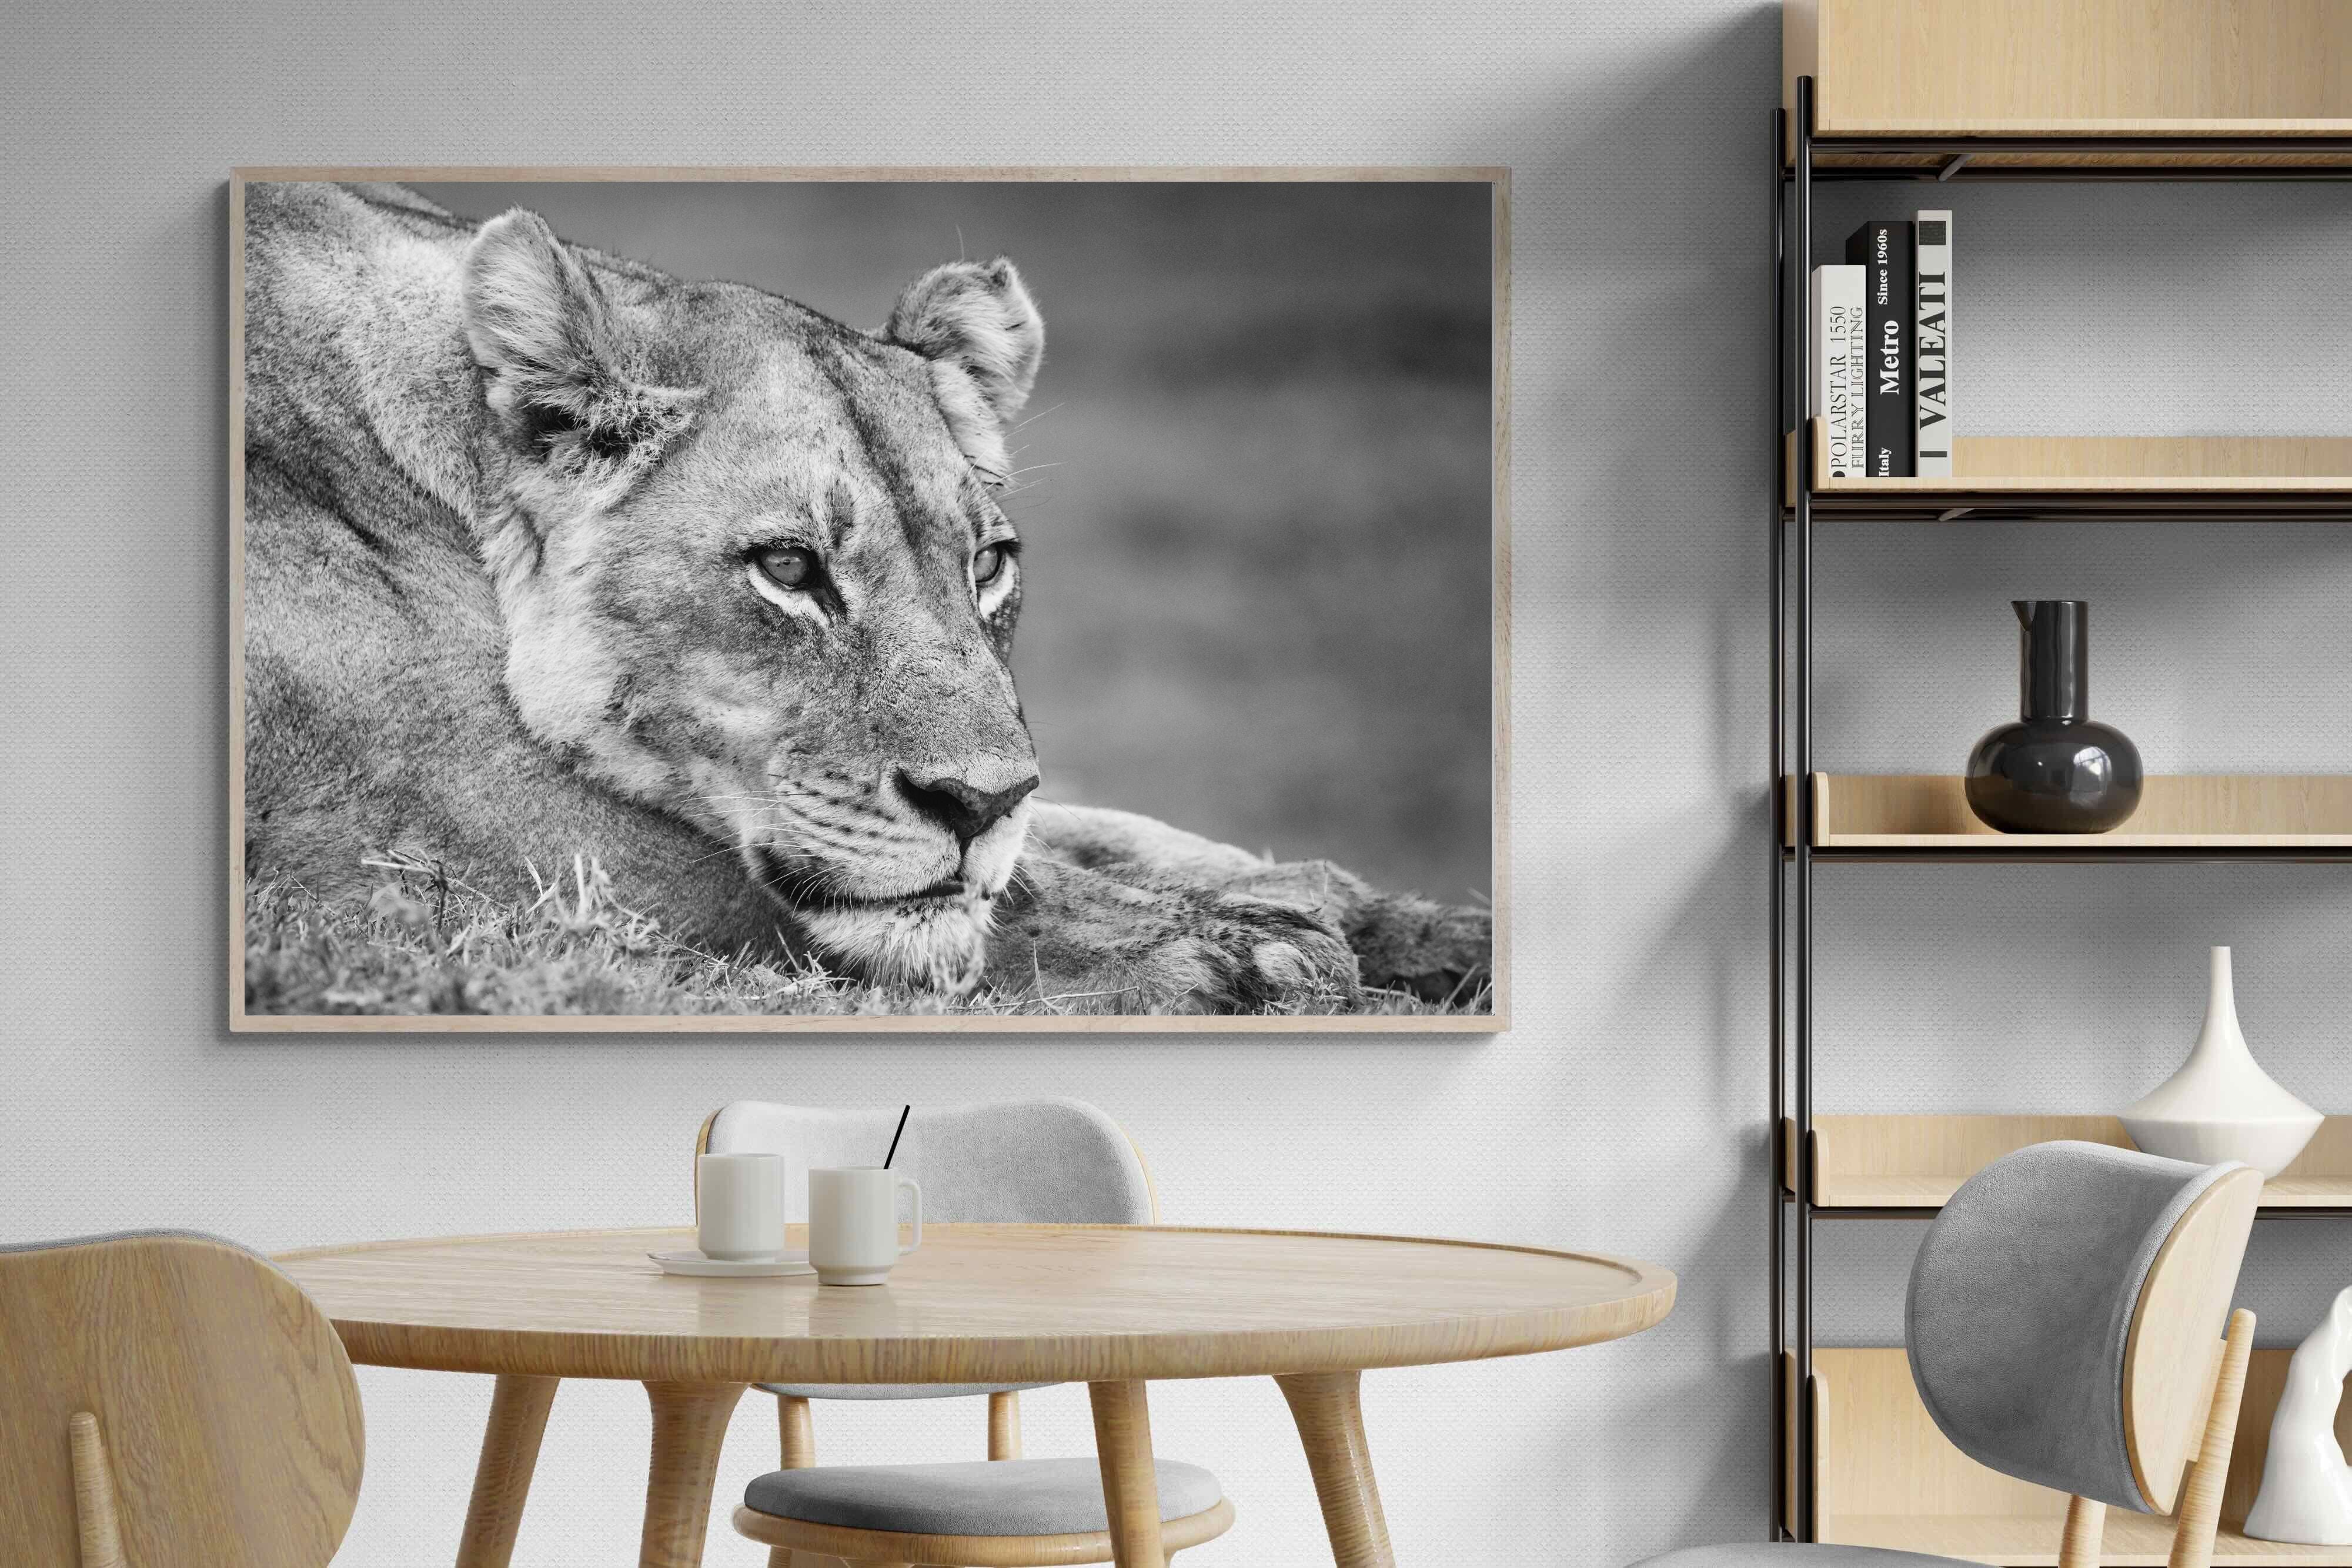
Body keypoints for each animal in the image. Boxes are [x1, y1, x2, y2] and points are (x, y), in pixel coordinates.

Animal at [241, 181, 1489, 1014]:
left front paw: (1402, 919)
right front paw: (1252, 953)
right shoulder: (458, 835)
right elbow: (980, 898)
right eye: (790, 569)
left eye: (987, 565)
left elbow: (1102, 832)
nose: (976, 805)